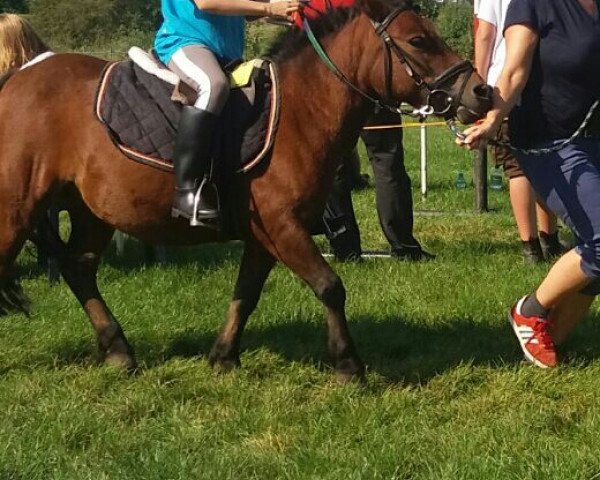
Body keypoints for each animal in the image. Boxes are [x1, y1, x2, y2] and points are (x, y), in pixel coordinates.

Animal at [0, 0, 490, 382]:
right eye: (418, 41)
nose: (482, 92)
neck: (300, 108)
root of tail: (18, 80)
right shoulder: (283, 226)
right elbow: (330, 286)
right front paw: (348, 365)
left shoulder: (265, 235)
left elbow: (246, 293)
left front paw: (223, 356)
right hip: (17, 210)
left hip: (92, 212)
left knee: (78, 268)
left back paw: (119, 350)